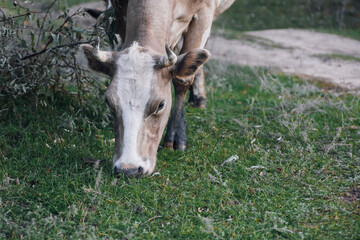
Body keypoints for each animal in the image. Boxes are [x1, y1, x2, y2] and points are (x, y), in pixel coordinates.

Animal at [81, 0, 233, 176]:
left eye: (161, 105)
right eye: (108, 102)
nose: (129, 169)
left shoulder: (205, 11)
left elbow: (182, 78)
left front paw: (176, 138)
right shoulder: (120, 13)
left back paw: (198, 97)